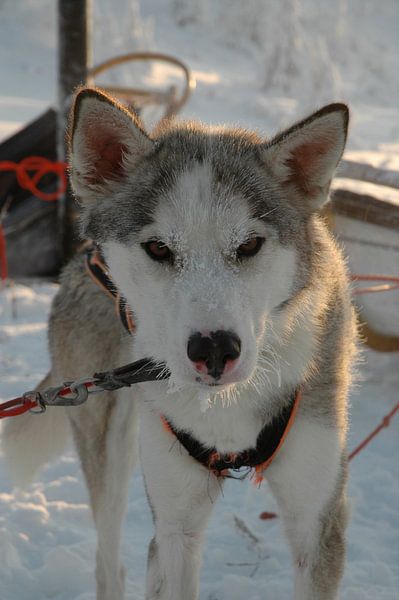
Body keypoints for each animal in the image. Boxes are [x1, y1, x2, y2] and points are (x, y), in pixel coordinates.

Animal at [3, 89, 358, 600]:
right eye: (158, 248)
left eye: (249, 245)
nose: (214, 349)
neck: (227, 410)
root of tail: (82, 258)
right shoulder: (176, 527)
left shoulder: (318, 522)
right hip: (109, 446)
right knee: (108, 560)